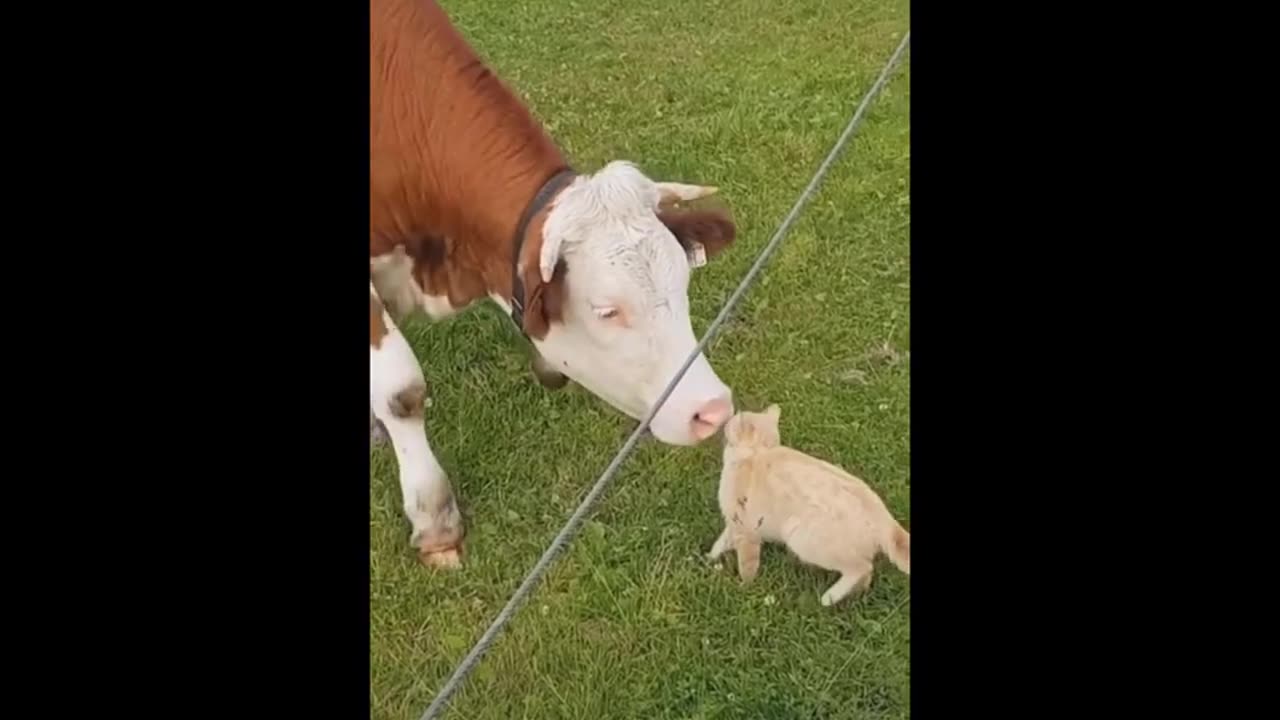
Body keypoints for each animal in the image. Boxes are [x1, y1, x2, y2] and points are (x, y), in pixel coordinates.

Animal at [711, 407, 911, 602]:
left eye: (731, 423)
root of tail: (884, 517)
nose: (725, 423)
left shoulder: (745, 529)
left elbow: (747, 565)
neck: (758, 452)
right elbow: (720, 543)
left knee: (862, 567)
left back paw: (829, 598)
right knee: (866, 576)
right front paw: (709, 559)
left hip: (801, 538)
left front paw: (744, 588)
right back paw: (852, 596)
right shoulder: (734, 525)